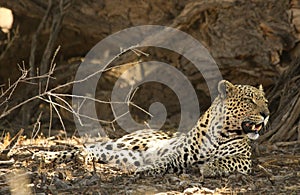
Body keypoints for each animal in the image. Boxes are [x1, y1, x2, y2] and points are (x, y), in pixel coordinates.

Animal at [32, 80, 270, 177]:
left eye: (265, 101)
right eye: (250, 101)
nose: (267, 114)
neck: (223, 132)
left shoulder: (245, 161)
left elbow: (228, 160)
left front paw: (210, 167)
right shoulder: (177, 156)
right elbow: (162, 163)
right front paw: (144, 169)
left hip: (115, 152)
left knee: (91, 150)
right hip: (126, 142)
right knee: (86, 146)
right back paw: (43, 155)